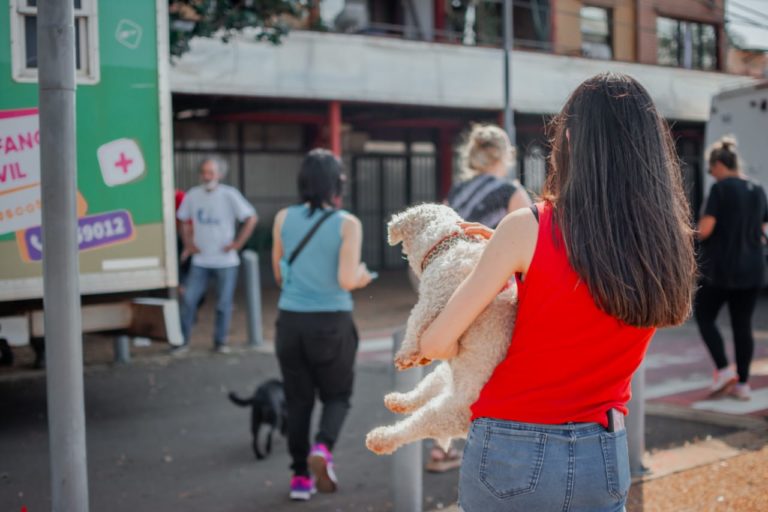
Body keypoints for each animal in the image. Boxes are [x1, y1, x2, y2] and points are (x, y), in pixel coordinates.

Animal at [364, 204, 516, 456]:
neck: (450, 242)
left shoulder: (435, 297)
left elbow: (415, 320)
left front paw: (405, 354)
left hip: (445, 413)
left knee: (412, 426)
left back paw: (381, 438)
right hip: (442, 375)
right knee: (421, 393)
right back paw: (398, 400)